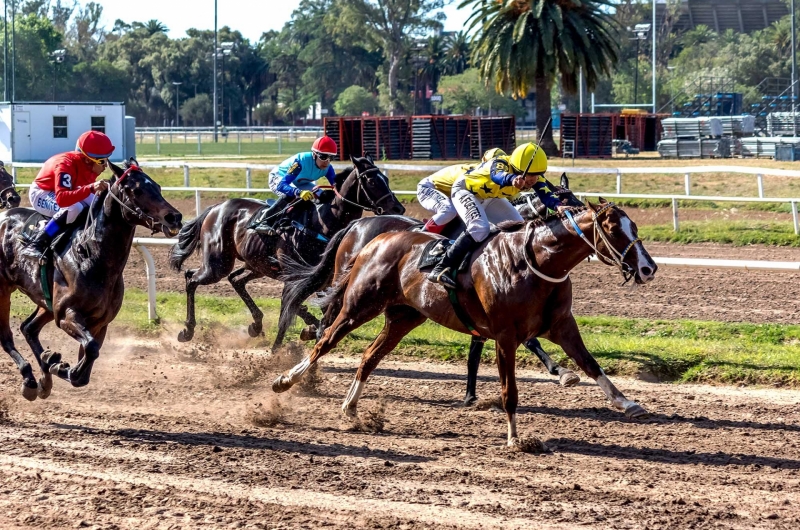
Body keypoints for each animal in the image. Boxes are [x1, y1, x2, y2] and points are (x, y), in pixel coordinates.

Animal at [0, 159, 181, 398]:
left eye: (158, 187)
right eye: (136, 190)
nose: (174, 217)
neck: (91, 255)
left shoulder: (99, 323)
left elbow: (83, 371)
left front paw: (53, 364)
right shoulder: (67, 315)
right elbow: (91, 350)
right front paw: (56, 364)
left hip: (46, 303)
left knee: (29, 328)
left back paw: (43, 376)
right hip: (4, 290)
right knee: (6, 336)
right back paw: (29, 379)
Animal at [170, 155, 406, 348]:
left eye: (386, 180)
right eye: (372, 181)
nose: (398, 208)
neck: (321, 222)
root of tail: (215, 208)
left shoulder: (322, 278)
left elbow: (320, 306)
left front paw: (312, 328)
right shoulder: (296, 275)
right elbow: (299, 304)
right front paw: (309, 327)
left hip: (256, 264)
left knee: (235, 280)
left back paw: (256, 324)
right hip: (218, 264)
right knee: (192, 278)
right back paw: (187, 330)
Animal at [276, 199, 656, 446]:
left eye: (635, 227)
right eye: (614, 230)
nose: (648, 268)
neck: (535, 262)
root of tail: (374, 238)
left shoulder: (562, 325)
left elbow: (591, 365)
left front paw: (628, 404)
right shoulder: (505, 334)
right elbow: (509, 390)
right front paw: (514, 437)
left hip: (403, 317)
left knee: (369, 357)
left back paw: (351, 408)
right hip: (359, 304)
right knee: (325, 339)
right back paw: (285, 380)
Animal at [278, 173, 584, 400]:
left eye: (577, 199)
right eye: (565, 200)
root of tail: (355, 225)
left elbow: (478, 346)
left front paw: (471, 394)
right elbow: (529, 339)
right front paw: (561, 370)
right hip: (351, 289)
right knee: (327, 322)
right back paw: (307, 368)